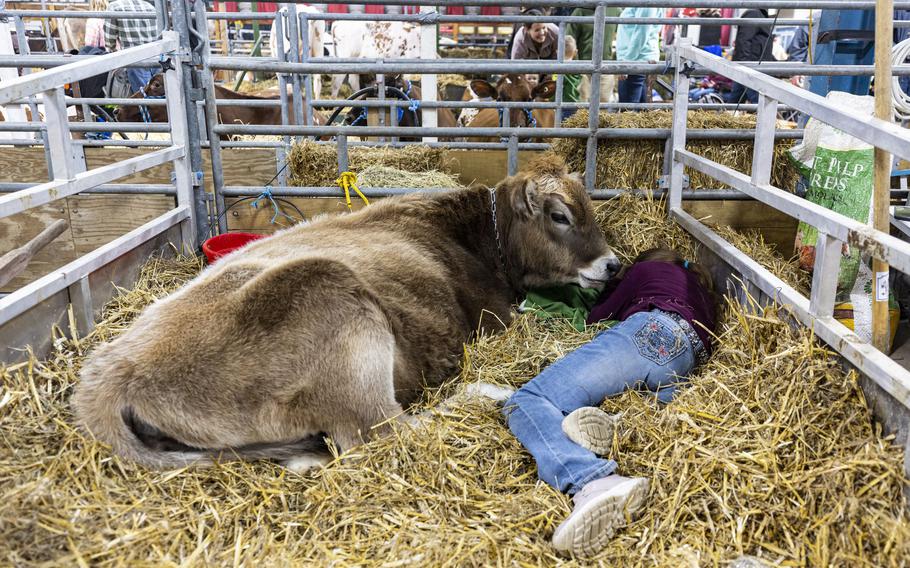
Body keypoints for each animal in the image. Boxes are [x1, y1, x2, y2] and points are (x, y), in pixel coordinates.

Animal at [75, 155, 624, 470]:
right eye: (560, 216)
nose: (614, 264)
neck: (470, 238)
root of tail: (109, 371)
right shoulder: (496, 316)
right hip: (339, 312)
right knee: (382, 429)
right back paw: (486, 391)